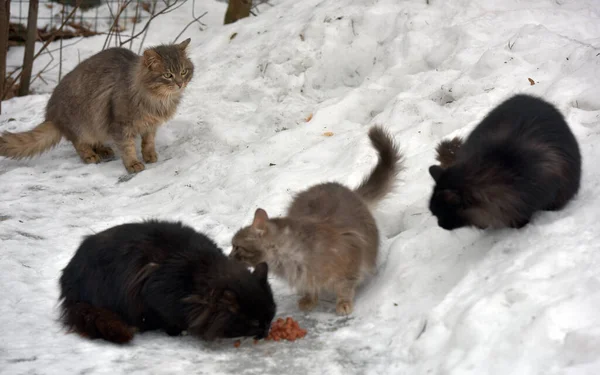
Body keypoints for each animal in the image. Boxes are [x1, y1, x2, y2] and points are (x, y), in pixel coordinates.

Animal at [0, 38, 193, 173]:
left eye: (184, 71)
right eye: (168, 75)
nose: (180, 83)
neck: (157, 100)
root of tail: (53, 116)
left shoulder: (150, 125)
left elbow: (148, 142)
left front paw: (149, 155)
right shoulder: (121, 125)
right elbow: (128, 147)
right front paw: (133, 164)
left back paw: (103, 150)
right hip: (80, 124)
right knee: (79, 143)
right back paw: (90, 156)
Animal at [58, 219, 276, 346]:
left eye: (271, 317)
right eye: (255, 323)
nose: (266, 332)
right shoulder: (154, 295)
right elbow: (170, 321)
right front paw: (178, 331)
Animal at [229, 126, 404, 318]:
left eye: (236, 247)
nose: (228, 257)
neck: (289, 260)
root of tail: (351, 192)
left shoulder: (350, 257)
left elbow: (345, 288)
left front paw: (343, 304)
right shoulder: (305, 278)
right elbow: (309, 287)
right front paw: (309, 300)